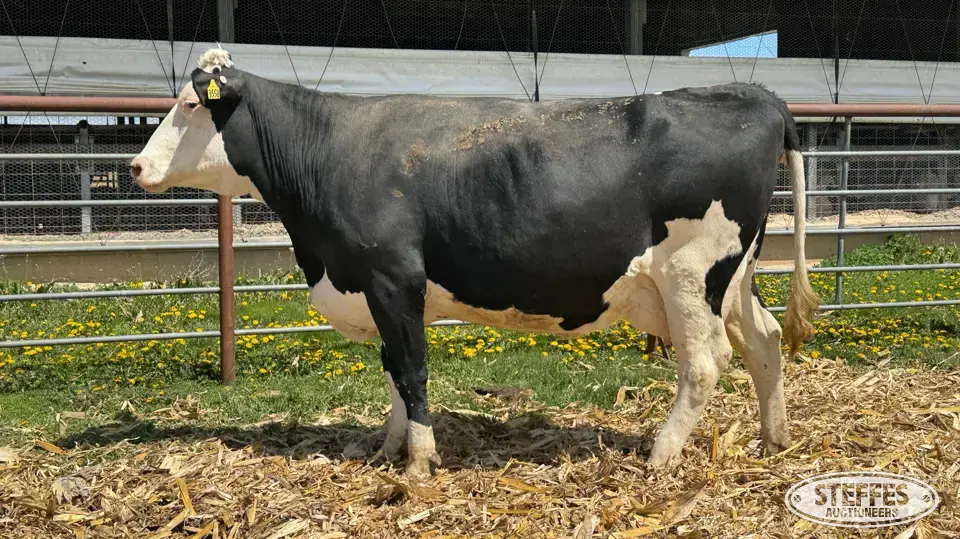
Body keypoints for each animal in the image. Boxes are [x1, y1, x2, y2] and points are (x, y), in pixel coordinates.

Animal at [130, 48, 819, 478]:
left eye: (190, 105)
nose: (136, 166)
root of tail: (754, 93)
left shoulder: (393, 279)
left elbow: (411, 372)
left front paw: (420, 461)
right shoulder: (382, 291)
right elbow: (392, 373)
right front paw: (387, 447)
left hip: (691, 273)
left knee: (705, 363)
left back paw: (662, 453)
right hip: (735, 275)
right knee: (765, 340)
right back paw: (773, 438)